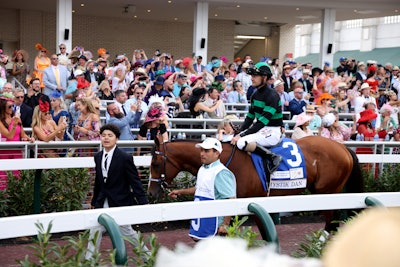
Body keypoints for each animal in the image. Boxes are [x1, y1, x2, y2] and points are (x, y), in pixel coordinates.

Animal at [148, 136, 364, 232]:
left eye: (155, 163)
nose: (150, 193)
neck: (227, 160)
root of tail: (343, 147)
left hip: (328, 192)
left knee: (331, 223)